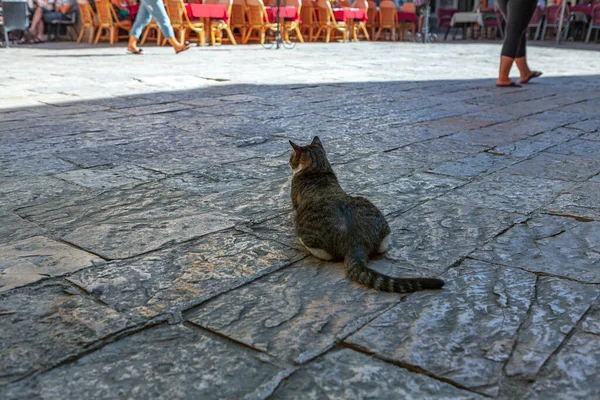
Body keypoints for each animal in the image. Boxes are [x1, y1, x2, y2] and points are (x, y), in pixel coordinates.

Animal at [290, 138, 446, 294]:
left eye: (292, 157)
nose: (290, 162)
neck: (318, 169)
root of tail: (356, 243)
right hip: (375, 215)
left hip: (309, 231)